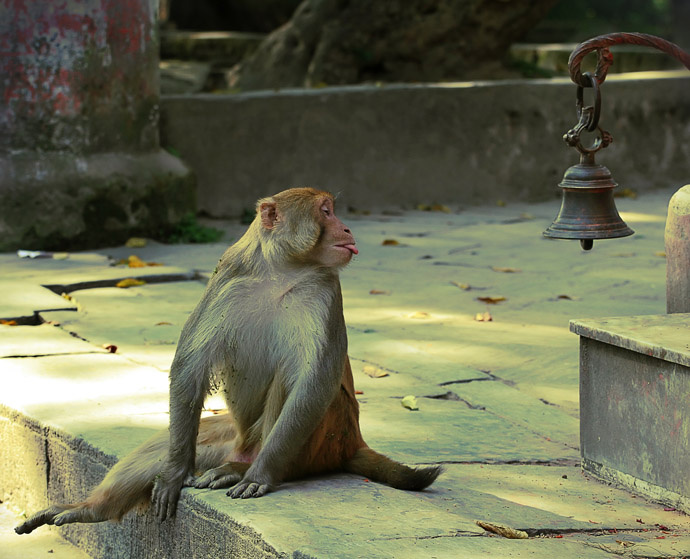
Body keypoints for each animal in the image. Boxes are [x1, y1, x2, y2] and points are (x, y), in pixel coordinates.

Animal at [16, 187, 441, 535]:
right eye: (326, 211)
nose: (348, 228)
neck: (281, 269)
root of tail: (354, 441)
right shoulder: (228, 276)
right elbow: (189, 366)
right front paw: (172, 475)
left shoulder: (326, 290)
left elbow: (313, 384)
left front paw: (263, 475)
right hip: (230, 436)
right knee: (173, 440)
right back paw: (92, 509)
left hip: (324, 440)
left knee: (297, 387)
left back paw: (244, 471)